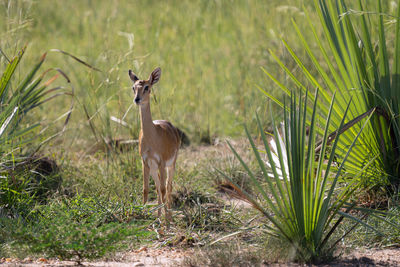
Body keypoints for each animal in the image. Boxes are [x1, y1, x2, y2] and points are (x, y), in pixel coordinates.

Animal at [129, 67, 182, 222]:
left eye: (147, 87)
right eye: (133, 87)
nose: (137, 99)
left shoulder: (162, 162)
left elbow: (164, 190)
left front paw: (166, 221)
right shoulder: (145, 163)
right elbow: (146, 189)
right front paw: (144, 215)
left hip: (171, 165)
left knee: (168, 188)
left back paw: (168, 216)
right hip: (154, 169)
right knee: (159, 187)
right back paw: (159, 216)